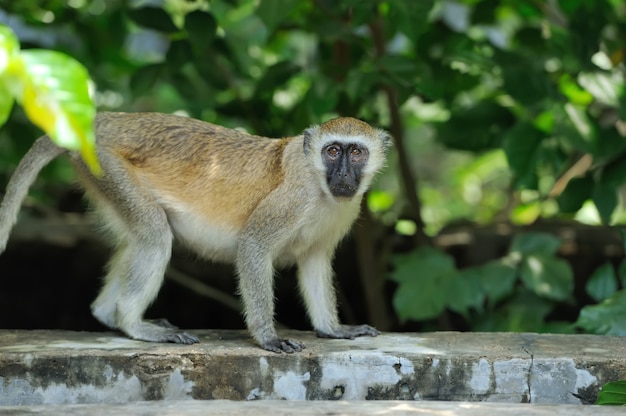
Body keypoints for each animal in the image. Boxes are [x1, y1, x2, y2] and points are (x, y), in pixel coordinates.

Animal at [0, 112, 390, 352]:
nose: (343, 175)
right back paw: (132, 322)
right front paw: (267, 338)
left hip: (98, 172)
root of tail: (107, 121)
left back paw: (108, 314)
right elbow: (253, 246)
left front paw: (334, 329)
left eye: (356, 152)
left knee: (139, 236)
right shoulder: (294, 198)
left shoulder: (343, 211)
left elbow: (314, 260)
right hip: (107, 164)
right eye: (333, 151)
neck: (320, 184)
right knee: (155, 235)